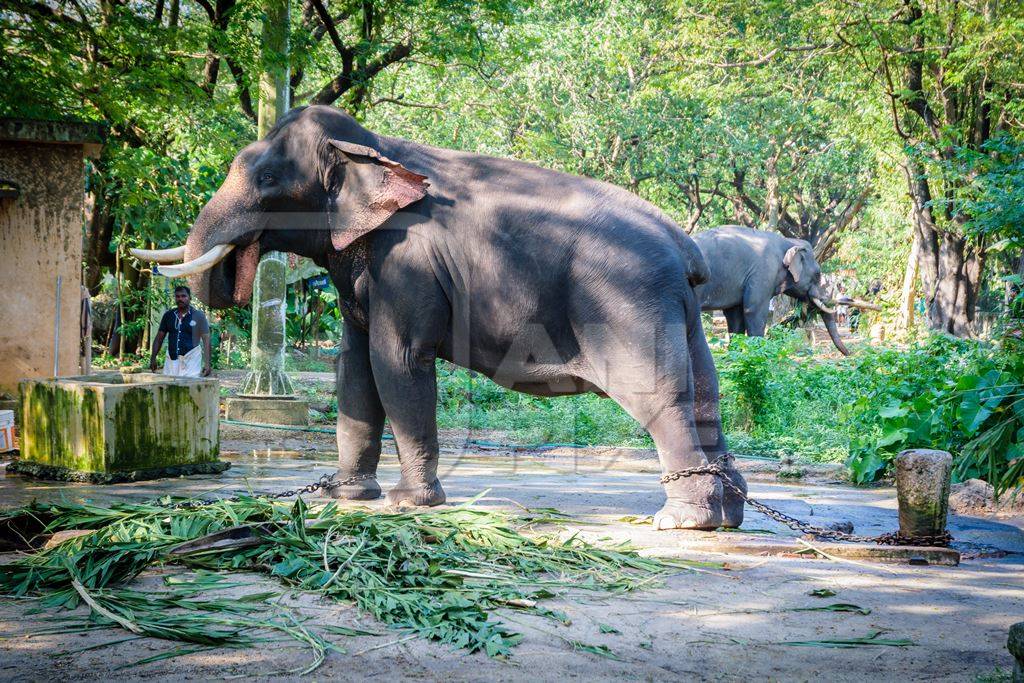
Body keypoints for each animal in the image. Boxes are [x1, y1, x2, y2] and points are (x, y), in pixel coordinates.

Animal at [134, 107, 745, 532]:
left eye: (265, 181)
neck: (374, 148)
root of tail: (686, 249)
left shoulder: (407, 265)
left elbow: (396, 361)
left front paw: (407, 504)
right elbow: (354, 369)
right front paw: (342, 496)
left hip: (630, 306)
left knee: (660, 397)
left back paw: (681, 522)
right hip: (680, 314)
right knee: (706, 391)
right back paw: (728, 511)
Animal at [692, 225, 851, 356]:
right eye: (818, 274)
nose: (850, 354)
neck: (788, 241)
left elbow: (735, 316)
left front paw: (735, 356)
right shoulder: (762, 274)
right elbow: (754, 311)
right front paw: (757, 355)